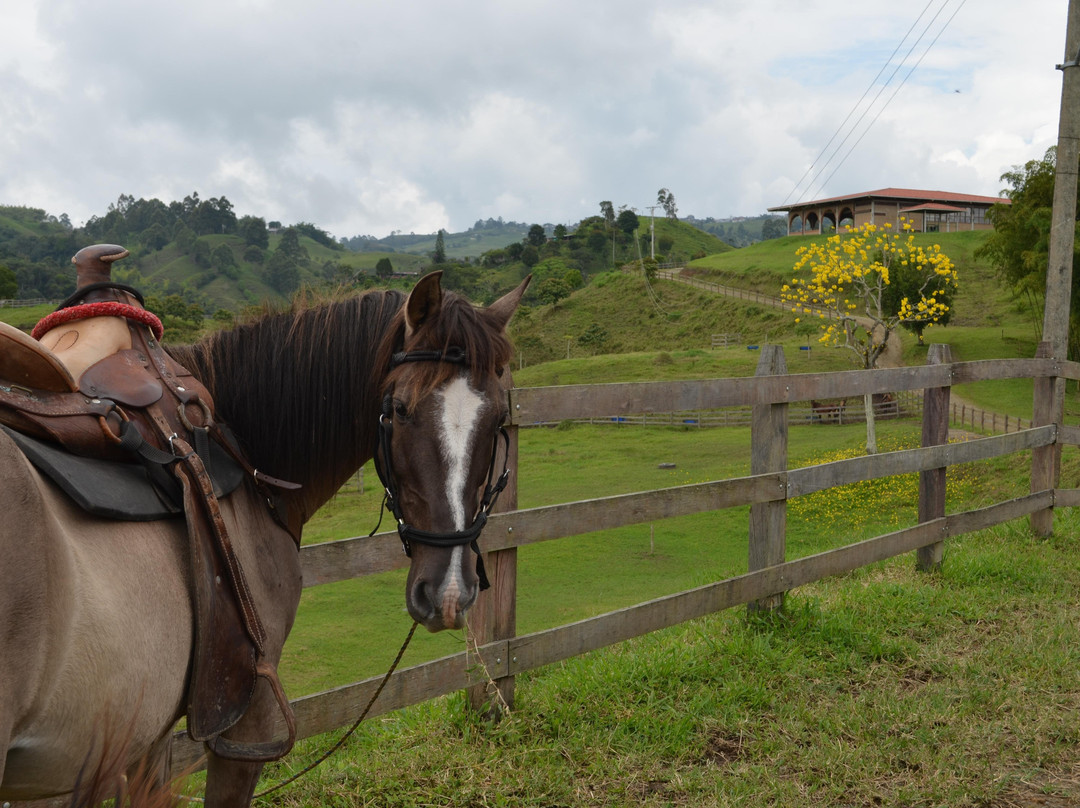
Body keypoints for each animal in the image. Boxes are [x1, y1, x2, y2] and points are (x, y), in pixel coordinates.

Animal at [0, 269, 530, 806]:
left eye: (497, 420)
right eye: (400, 410)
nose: (448, 592)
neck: (239, 448)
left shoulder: (142, 734)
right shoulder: (246, 717)